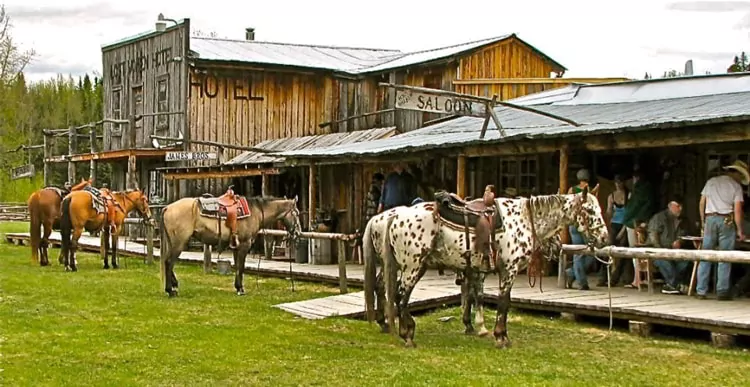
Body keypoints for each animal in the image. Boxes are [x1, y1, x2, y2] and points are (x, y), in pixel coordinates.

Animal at [160, 194, 302, 298]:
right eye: (297, 213)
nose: (298, 232)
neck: (256, 211)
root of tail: (167, 208)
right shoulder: (245, 244)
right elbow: (241, 267)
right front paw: (241, 289)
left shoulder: (236, 246)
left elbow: (237, 266)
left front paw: (237, 287)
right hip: (179, 243)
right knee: (169, 262)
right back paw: (170, 290)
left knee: (167, 262)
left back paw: (173, 286)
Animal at [364, 186, 612, 350]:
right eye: (591, 211)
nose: (604, 238)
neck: (523, 219)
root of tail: (391, 217)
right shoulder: (508, 270)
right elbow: (502, 302)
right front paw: (500, 337)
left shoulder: (476, 270)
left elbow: (476, 297)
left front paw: (479, 328)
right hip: (413, 267)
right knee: (400, 296)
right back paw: (407, 334)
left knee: (386, 290)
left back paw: (390, 326)